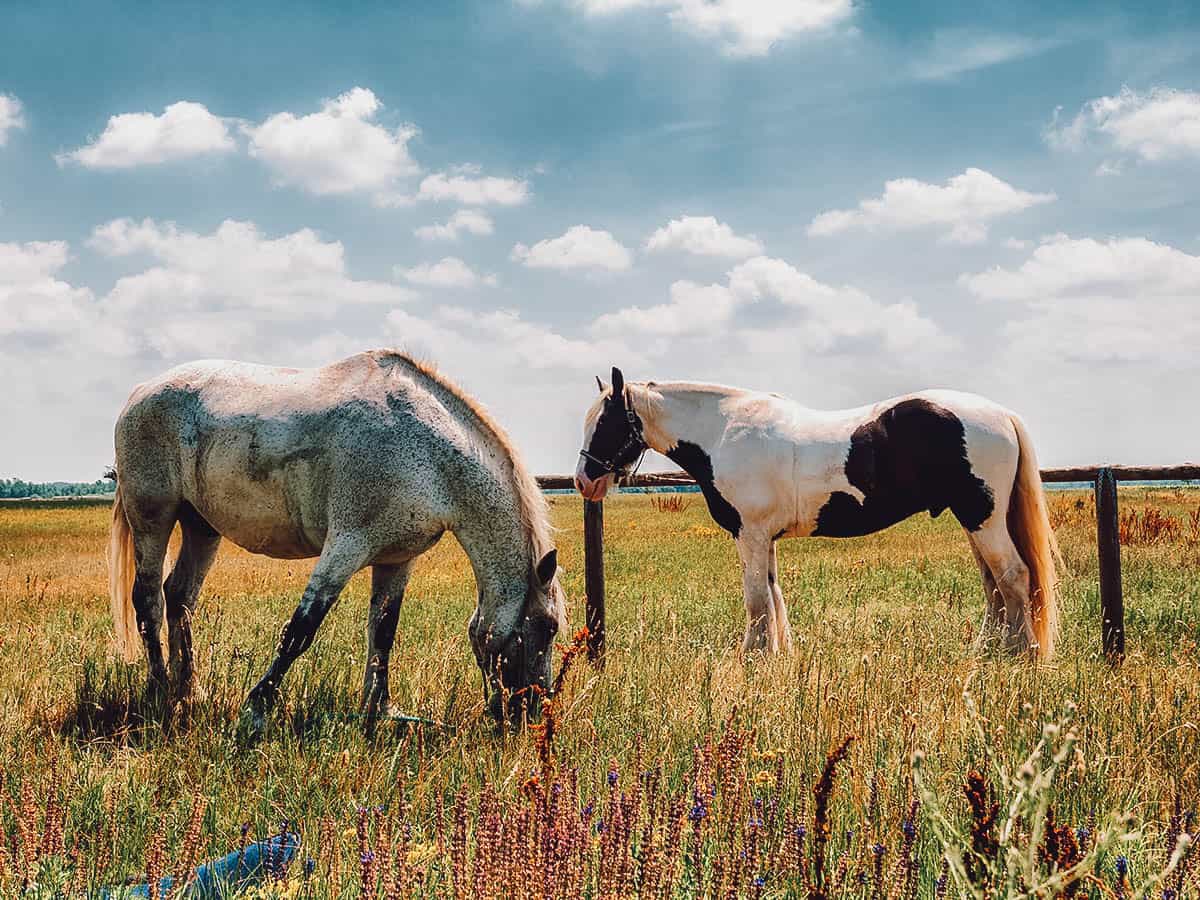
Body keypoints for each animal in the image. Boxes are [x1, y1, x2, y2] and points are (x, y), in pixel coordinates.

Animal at [108, 348, 566, 734]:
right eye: (548, 626)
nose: (533, 714)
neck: (428, 454)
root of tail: (140, 393)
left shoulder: (396, 559)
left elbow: (383, 632)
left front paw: (379, 710)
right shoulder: (346, 547)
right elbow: (301, 629)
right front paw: (256, 710)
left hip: (201, 527)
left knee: (179, 597)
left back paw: (189, 691)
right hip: (153, 519)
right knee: (148, 600)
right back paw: (160, 691)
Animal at [580, 367, 1060, 662]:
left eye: (605, 423)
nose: (585, 480)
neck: (723, 431)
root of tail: (1002, 414)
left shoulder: (750, 535)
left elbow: (756, 600)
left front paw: (751, 658)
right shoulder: (764, 539)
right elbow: (773, 597)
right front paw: (778, 655)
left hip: (983, 517)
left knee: (1013, 576)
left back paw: (1023, 654)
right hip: (975, 520)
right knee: (995, 584)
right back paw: (990, 652)